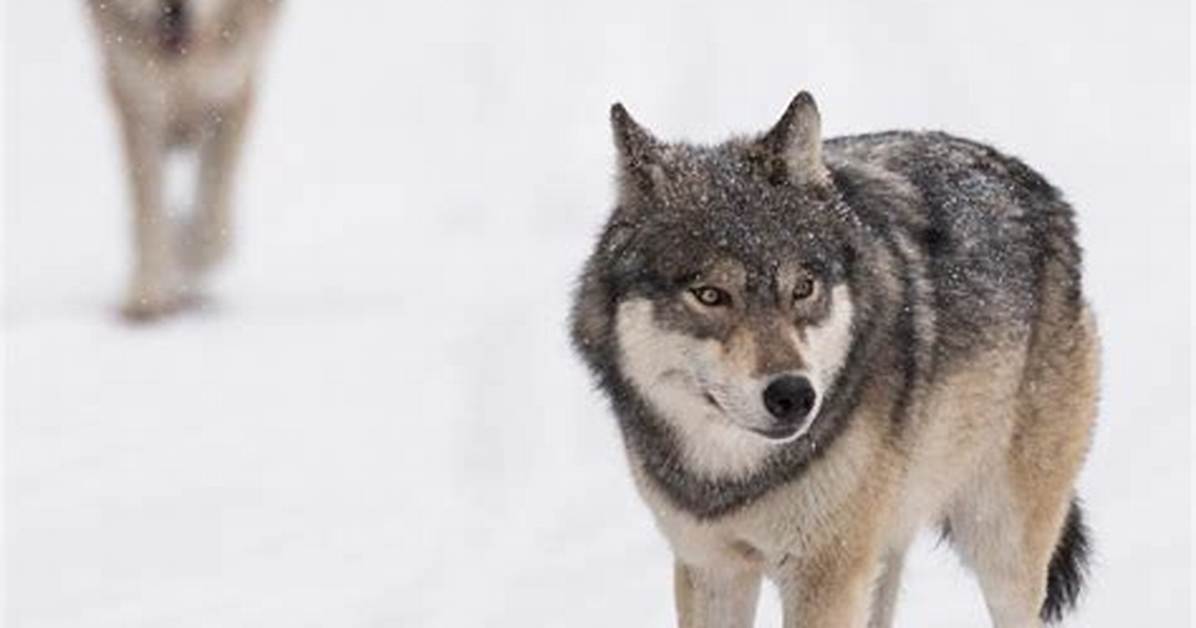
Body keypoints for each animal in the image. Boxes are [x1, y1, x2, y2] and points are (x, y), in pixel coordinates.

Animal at [87, 0, 281, 319]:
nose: (173, 10)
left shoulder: (231, 92)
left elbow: (211, 230)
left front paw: (182, 262)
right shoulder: (139, 100)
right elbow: (149, 215)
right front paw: (147, 292)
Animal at [570, 92, 1098, 627]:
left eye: (803, 288)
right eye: (710, 295)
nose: (793, 395)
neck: (735, 477)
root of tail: (1036, 184)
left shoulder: (826, 574)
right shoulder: (711, 565)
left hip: (998, 543)